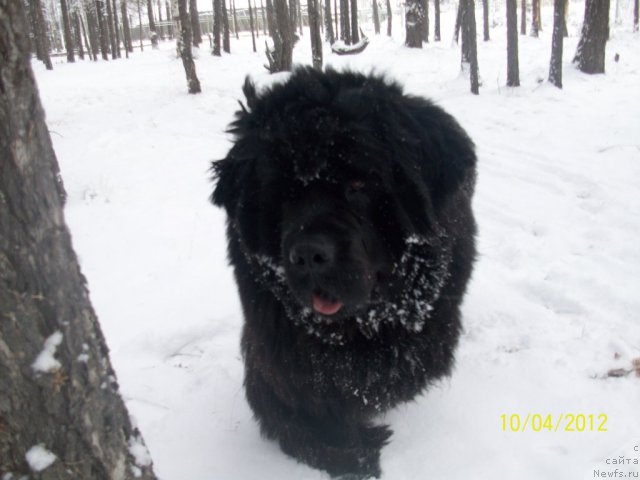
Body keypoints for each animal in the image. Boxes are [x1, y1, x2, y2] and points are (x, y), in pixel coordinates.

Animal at [212, 66, 478, 476]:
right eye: (282, 191)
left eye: (358, 183)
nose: (309, 255)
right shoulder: (274, 351)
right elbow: (296, 409)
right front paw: (348, 451)